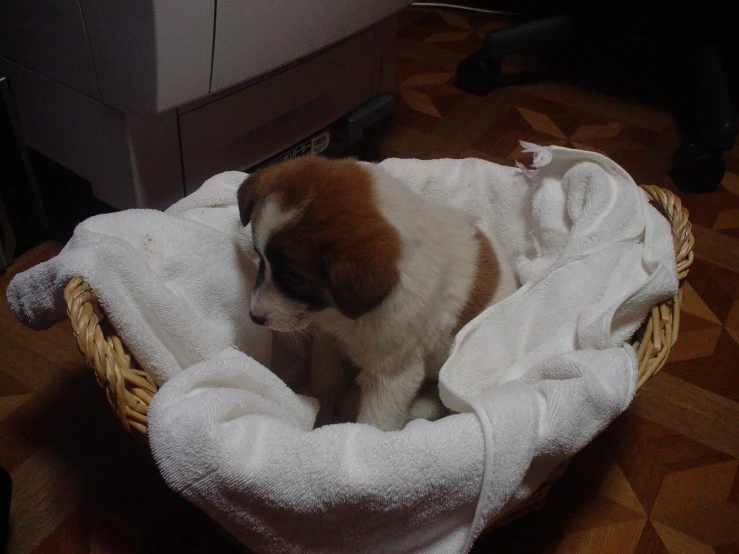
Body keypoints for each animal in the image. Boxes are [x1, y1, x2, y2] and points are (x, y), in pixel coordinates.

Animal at [237, 153, 516, 430]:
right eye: (260, 258)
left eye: (295, 277)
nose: (255, 317)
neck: (342, 314)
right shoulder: (329, 342)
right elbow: (325, 382)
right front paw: (320, 414)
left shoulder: (393, 375)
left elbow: (375, 423)